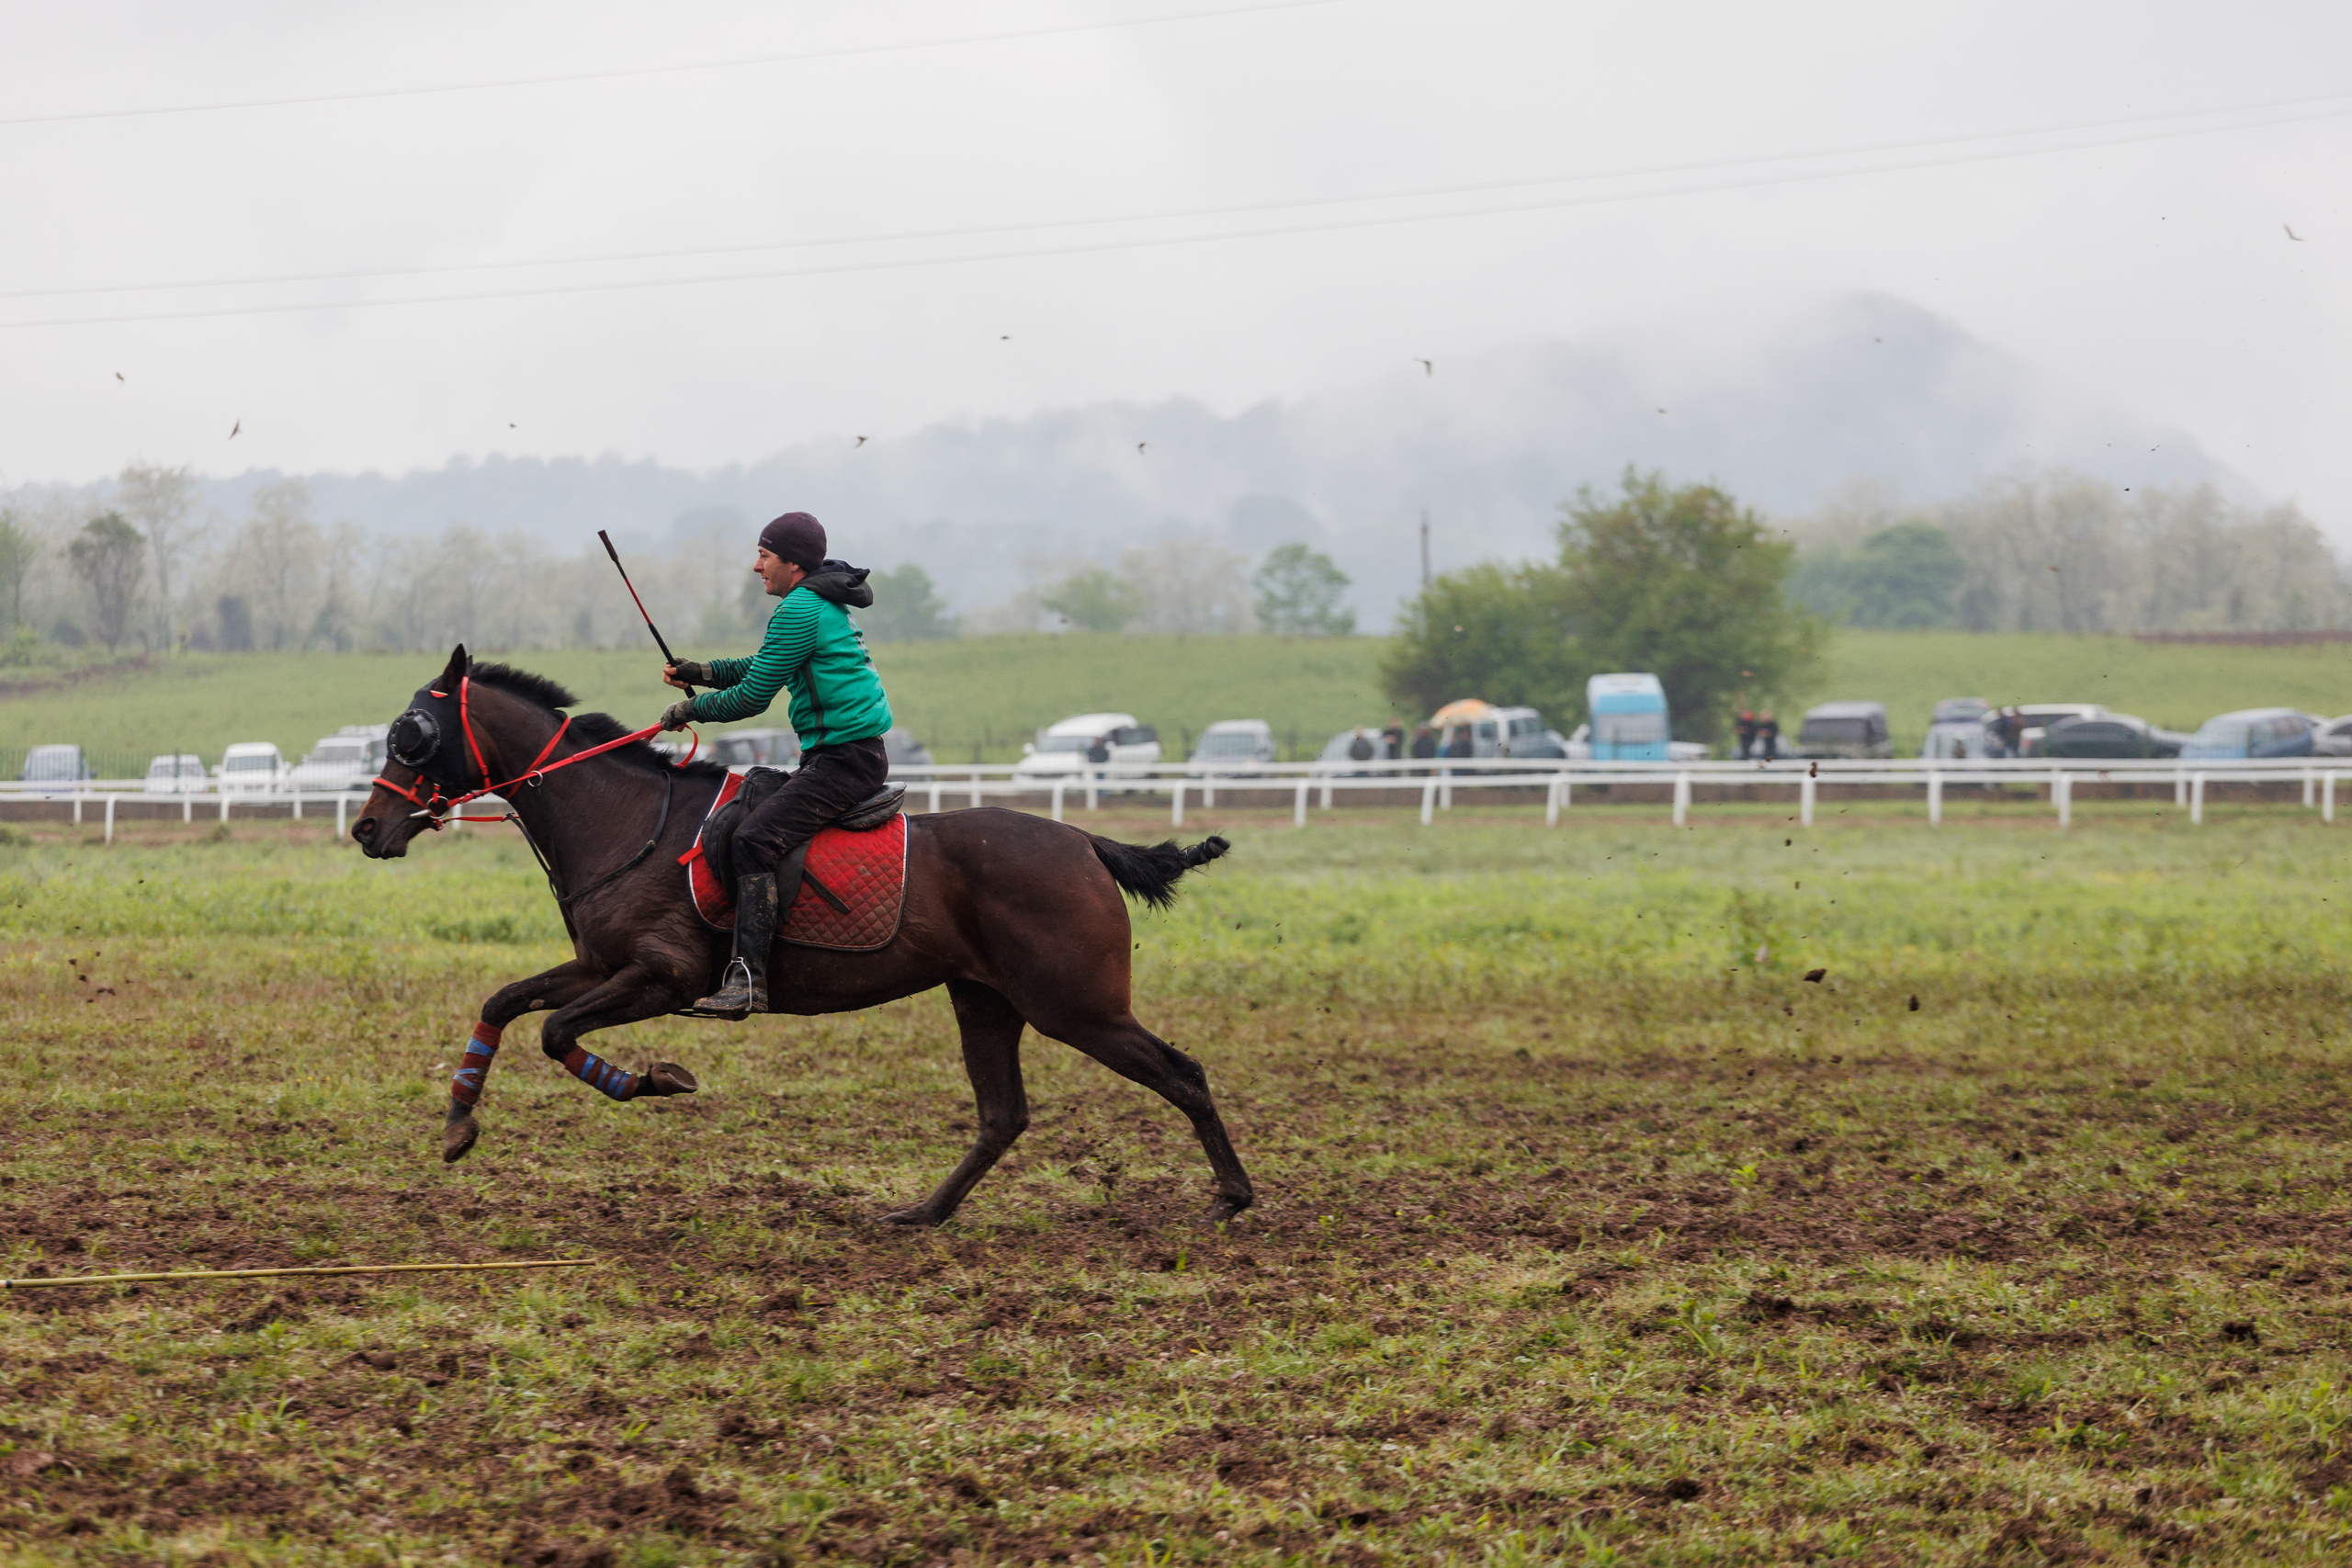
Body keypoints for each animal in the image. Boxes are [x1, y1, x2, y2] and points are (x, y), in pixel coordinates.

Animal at [349, 646, 1255, 1227]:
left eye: (410, 733)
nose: (366, 827)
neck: (628, 820)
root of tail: (1084, 842)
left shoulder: (663, 977)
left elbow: (554, 1031)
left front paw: (651, 1080)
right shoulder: (598, 964)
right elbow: (505, 1002)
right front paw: (458, 1122)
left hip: (1077, 1006)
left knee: (1182, 1073)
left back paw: (1232, 1194)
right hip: (986, 1001)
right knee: (1003, 1115)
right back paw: (923, 1212)